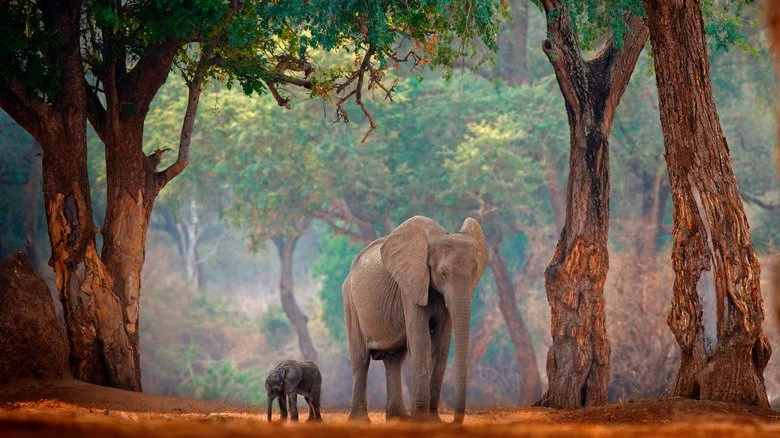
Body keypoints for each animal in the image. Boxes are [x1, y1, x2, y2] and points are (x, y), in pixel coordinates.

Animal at [342, 215, 488, 424]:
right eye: (442, 273)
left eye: (476, 272)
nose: (452, 422)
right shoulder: (410, 285)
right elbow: (420, 339)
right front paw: (421, 420)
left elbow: (442, 342)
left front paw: (433, 420)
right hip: (350, 301)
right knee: (360, 358)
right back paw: (360, 421)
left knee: (394, 359)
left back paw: (398, 418)